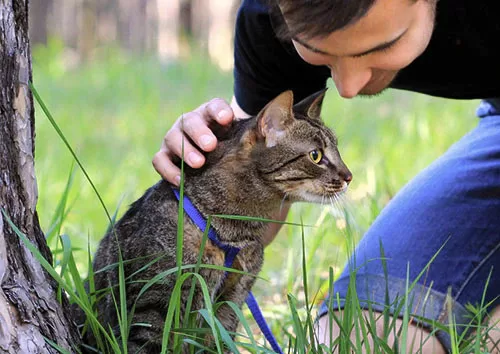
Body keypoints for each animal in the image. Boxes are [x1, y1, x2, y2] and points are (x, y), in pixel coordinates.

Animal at [88, 88, 352, 352]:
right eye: (316, 156)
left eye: (338, 150)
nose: (349, 176)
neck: (233, 232)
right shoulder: (152, 306)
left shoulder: (231, 302)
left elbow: (220, 343)